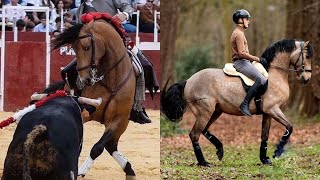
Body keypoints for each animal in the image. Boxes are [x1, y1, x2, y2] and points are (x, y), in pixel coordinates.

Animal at [52, 12, 136, 179]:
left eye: (86, 47)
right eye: (73, 48)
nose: (84, 80)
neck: (113, 78)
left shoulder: (119, 119)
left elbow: (98, 147)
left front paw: (81, 171)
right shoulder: (85, 111)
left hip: (123, 124)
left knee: (110, 145)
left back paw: (129, 170)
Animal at [161, 39, 314, 166]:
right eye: (307, 56)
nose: (306, 79)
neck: (274, 75)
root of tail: (188, 81)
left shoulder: (267, 113)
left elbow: (265, 136)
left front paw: (264, 159)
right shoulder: (273, 109)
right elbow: (290, 127)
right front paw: (277, 152)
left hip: (215, 111)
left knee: (203, 130)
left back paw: (219, 150)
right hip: (205, 111)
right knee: (194, 134)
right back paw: (203, 162)